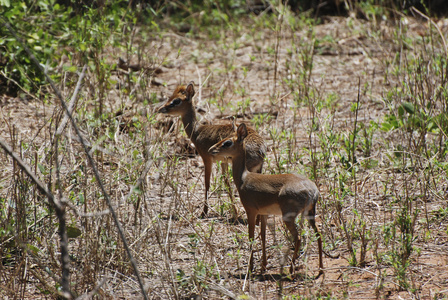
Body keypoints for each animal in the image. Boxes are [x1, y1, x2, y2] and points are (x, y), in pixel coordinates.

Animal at [157, 82, 266, 218]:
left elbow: (207, 183)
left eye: (176, 100)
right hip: (258, 169)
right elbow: (226, 183)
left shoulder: (207, 159)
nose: (161, 109)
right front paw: (235, 213)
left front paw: (204, 212)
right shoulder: (224, 162)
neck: (197, 132)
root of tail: (260, 149)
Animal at [208, 122, 324, 276]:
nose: (211, 150)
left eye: (227, 142)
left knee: (298, 238)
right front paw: (263, 266)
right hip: (310, 213)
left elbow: (251, 237)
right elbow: (263, 236)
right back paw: (320, 269)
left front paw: (250, 268)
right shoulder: (263, 214)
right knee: (318, 235)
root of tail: (313, 191)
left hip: (288, 217)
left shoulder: (251, 212)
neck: (243, 179)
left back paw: (291, 269)